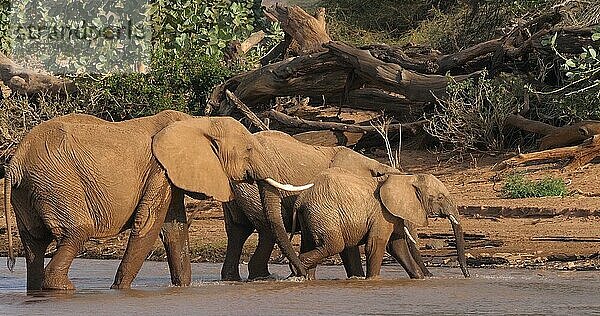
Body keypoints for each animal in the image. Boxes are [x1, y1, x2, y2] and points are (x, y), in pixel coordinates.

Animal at [2, 110, 308, 292]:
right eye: (248, 150)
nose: (301, 274)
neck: (197, 121)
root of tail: (16, 160)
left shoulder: (168, 174)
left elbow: (174, 230)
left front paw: (182, 289)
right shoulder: (158, 169)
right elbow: (147, 226)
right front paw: (120, 291)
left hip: (31, 190)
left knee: (34, 243)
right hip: (57, 183)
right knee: (76, 232)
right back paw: (62, 288)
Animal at [221, 130, 432, 280]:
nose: (429, 276)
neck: (373, 164)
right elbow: (348, 246)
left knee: (238, 230)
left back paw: (233, 278)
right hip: (250, 186)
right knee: (265, 230)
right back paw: (263, 277)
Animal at [292, 168, 472, 278]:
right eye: (440, 197)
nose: (467, 275)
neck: (405, 178)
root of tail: (300, 200)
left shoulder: (393, 215)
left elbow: (397, 247)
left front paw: (418, 278)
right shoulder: (382, 214)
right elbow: (375, 245)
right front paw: (373, 280)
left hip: (311, 217)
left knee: (311, 244)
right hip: (324, 214)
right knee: (333, 245)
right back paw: (296, 269)